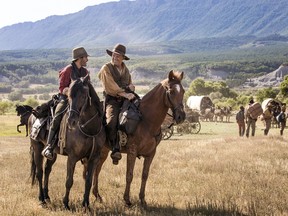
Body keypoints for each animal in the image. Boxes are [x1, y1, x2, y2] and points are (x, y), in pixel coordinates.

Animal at [29, 75, 105, 210]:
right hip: (37, 148)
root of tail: (32, 115)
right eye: (69, 96)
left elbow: (88, 182)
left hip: (52, 154)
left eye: (84, 95)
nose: (71, 121)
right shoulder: (72, 157)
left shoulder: (93, 158)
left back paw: (47, 197)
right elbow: (69, 181)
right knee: (39, 173)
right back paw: (41, 199)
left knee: (47, 170)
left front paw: (86, 205)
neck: (89, 129)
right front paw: (66, 204)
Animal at [93, 70, 187, 207]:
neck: (146, 121)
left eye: (183, 91)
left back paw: (97, 196)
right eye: (171, 91)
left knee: (97, 168)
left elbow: (145, 175)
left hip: (103, 150)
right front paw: (127, 200)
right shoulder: (132, 151)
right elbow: (129, 175)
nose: (181, 116)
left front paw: (142, 199)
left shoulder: (151, 153)